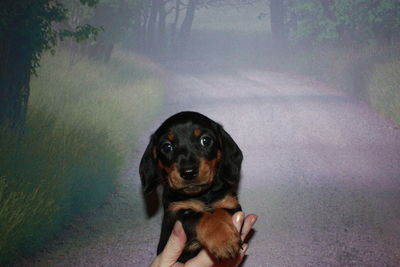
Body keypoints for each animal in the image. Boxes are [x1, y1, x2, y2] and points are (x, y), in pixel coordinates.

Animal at [139, 111, 242, 264]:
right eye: (167, 146)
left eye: (205, 140)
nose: (188, 172)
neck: (202, 195)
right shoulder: (175, 215)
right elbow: (202, 216)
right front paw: (223, 240)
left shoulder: (231, 205)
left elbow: (219, 211)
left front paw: (225, 237)